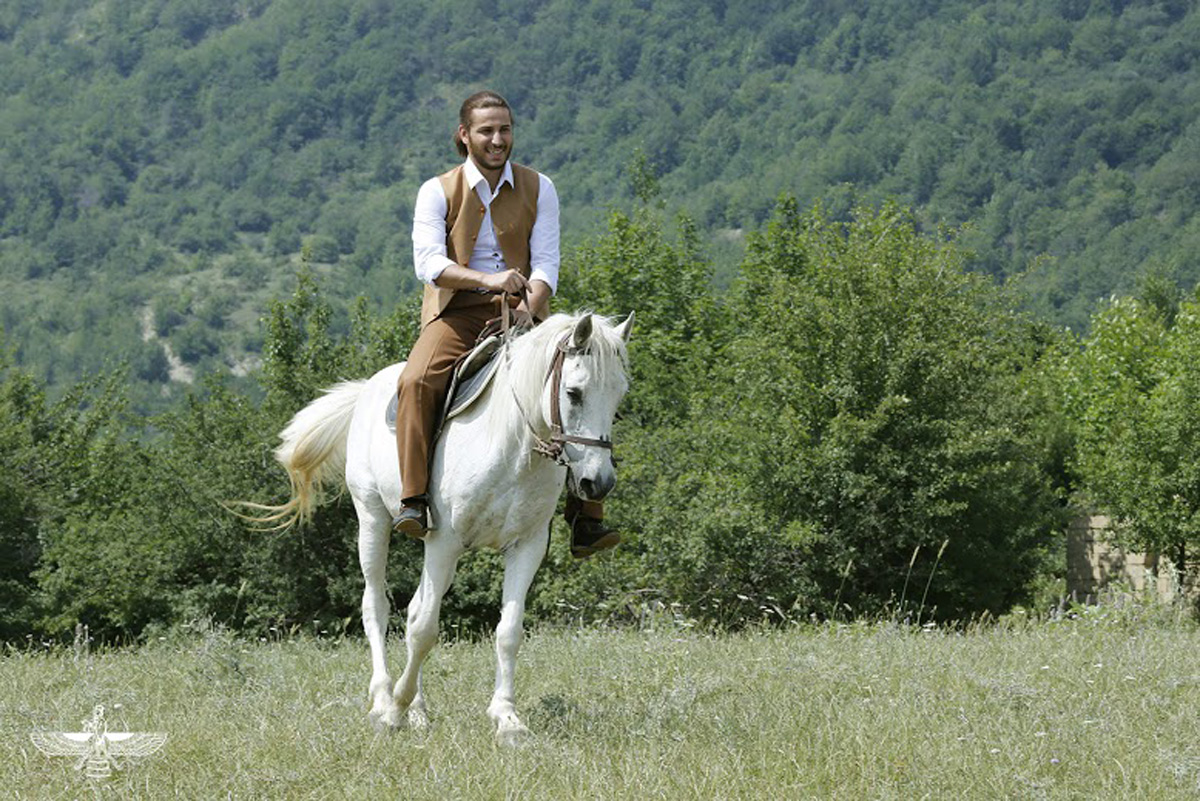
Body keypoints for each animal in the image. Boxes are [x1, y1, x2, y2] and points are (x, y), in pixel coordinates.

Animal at [259, 311, 633, 743]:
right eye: (573, 393)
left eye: (619, 397)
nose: (598, 483)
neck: (512, 446)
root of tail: (368, 387)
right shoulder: (446, 543)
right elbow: (425, 629)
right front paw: (396, 710)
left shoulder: (527, 545)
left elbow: (508, 631)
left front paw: (507, 718)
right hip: (372, 519)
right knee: (377, 607)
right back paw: (384, 699)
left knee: (412, 609)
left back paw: (418, 710)